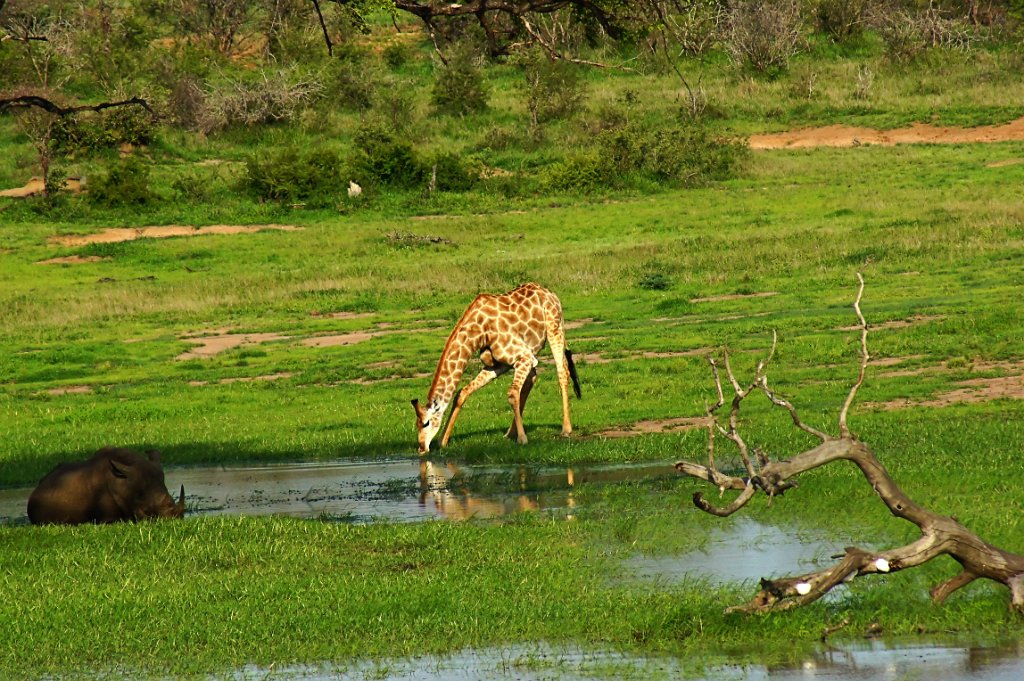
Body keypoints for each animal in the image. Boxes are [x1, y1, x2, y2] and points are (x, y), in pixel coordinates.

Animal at [411, 283, 582, 454]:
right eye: (416, 424)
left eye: (426, 423)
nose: (421, 448)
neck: (478, 332)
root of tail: (550, 293)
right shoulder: (498, 364)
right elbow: (462, 393)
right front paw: (443, 441)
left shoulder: (523, 357)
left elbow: (512, 393)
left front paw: (523, 439)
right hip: (533, 348)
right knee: (532, 378)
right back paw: (510, 433)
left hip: (555, 328)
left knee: (562, 372)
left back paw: (566, 429)